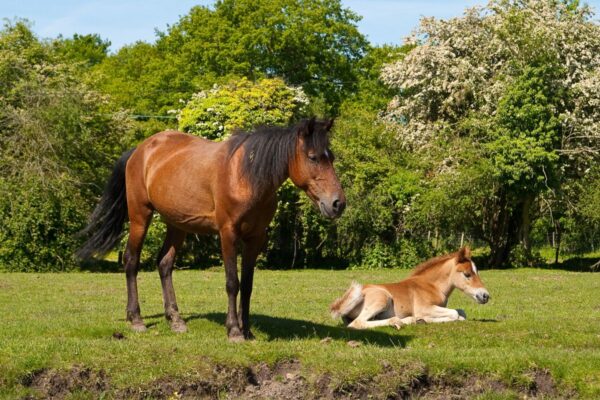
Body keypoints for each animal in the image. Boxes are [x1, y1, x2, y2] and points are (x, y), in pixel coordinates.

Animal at [77, 118, 344, 340]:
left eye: (331, 157)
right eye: (313, 157)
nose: (337, 203)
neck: (245, 177)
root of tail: (139, 151)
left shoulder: (255, 239)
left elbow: (247, 286)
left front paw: (248, 331)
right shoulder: (228, 235)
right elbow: (232, 283)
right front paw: (234, 330)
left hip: (177, 224)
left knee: (164, 264)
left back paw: (175, 320)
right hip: (140, 217)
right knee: (131, 261)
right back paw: (136, 320)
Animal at [330, 248, 490, 330]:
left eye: (477, 272)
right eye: (467, 274)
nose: (485, 296)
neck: (432, 286)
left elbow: (461, 313)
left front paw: (421, 320)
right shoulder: (424, 308)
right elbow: (454, 314)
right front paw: (423, 319)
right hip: (383, 298)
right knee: (357, 323)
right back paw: (397, 322)